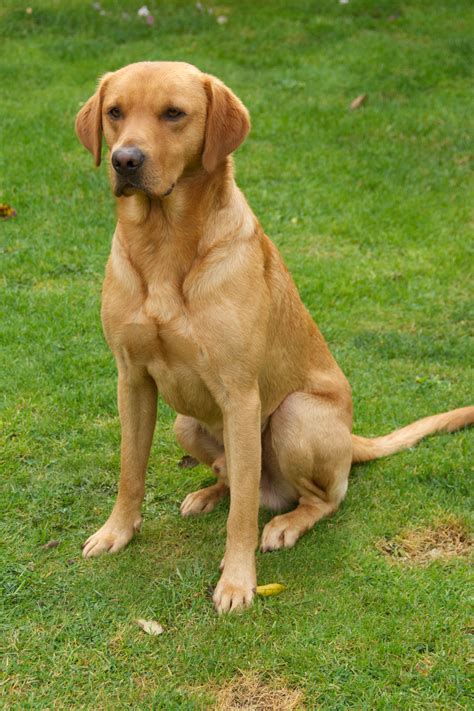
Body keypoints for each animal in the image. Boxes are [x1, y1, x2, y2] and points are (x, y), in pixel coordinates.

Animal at [76, 64, 472, 616]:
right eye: (115, 112)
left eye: (173, 113)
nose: (125, 160)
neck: (163, 244)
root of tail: (352, 438)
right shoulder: (131, 379)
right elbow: (130, 470)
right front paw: (117, 532)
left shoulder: (242, 396)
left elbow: (242, 514)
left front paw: (237, 581)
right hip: (184, 423)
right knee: (232, 476)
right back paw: (206, 495)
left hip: (293, 416)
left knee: (320, 497)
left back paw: (286, 523)